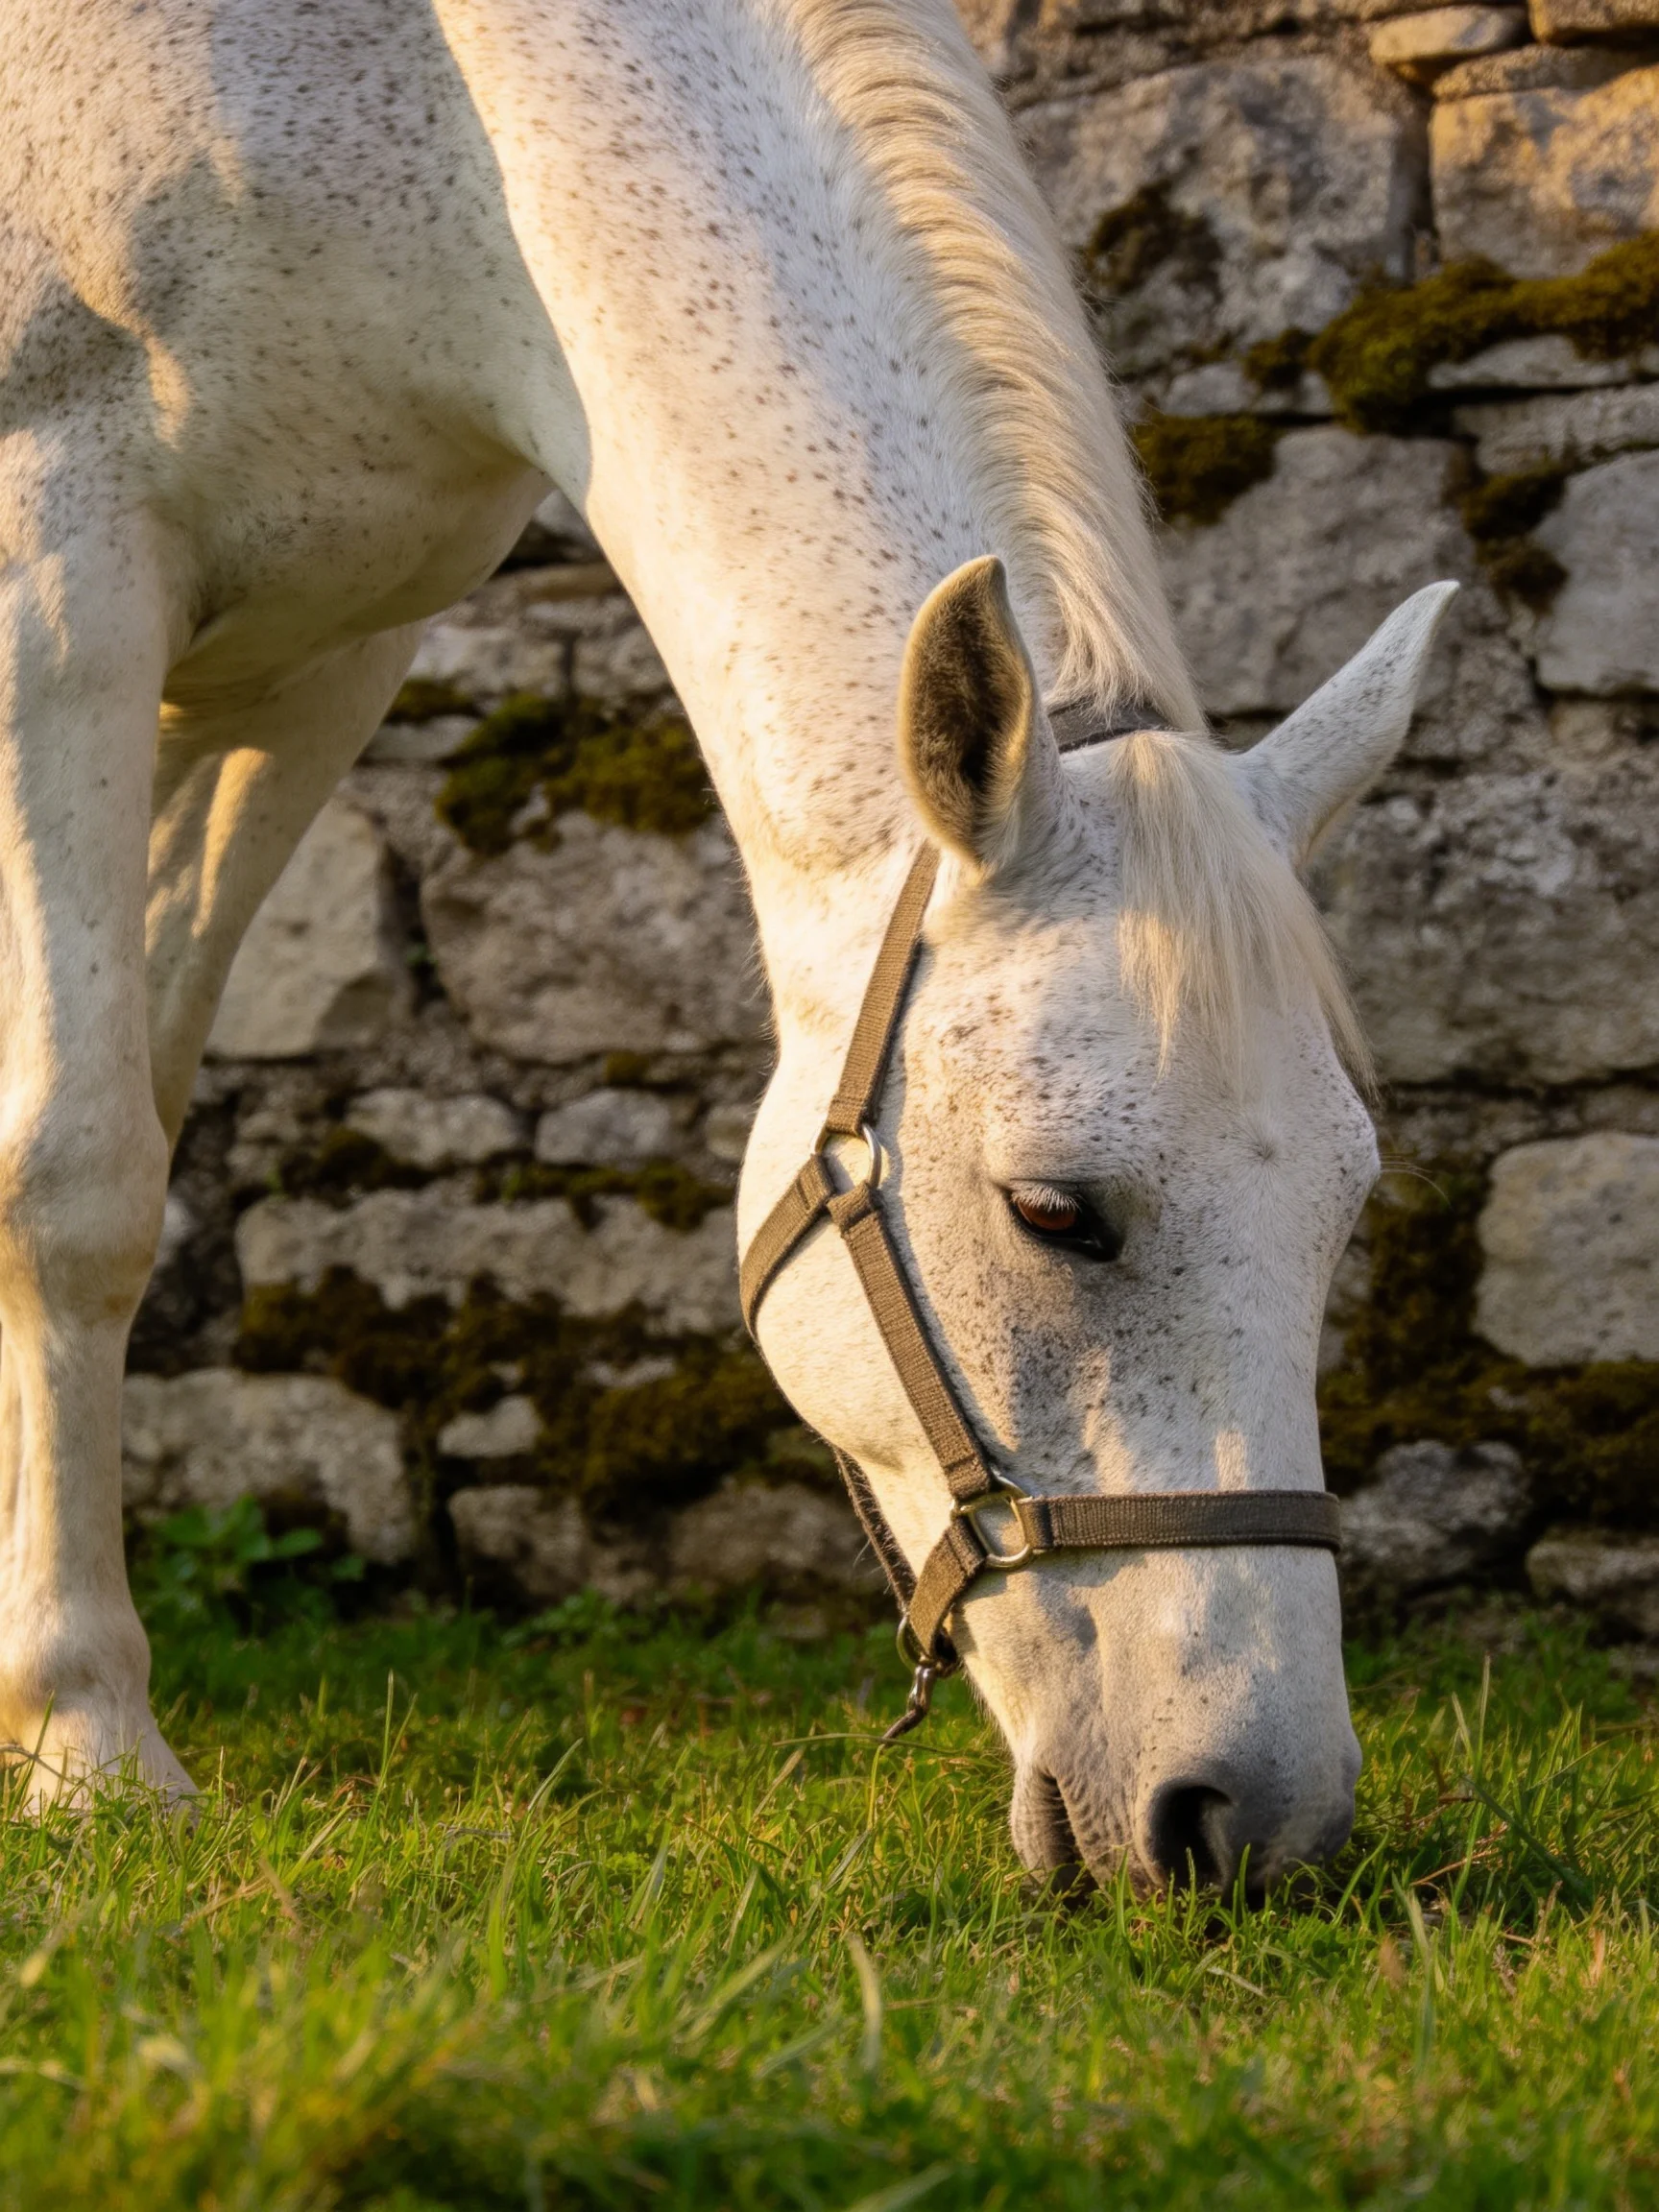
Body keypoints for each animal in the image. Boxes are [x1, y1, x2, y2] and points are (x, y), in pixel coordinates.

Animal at [1, 0, 1454, 1886]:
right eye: (1054, 1213)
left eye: (1344, 1213)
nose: (1256, 1825)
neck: (422, 106)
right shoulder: (59, 571)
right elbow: (73, 1181)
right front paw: (85, 1736)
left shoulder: (316, 662)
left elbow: (144, 1118)